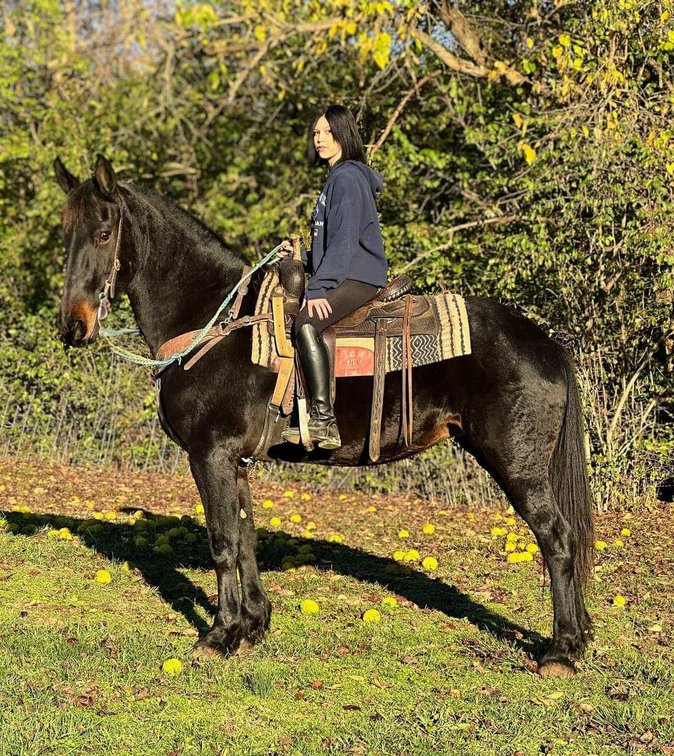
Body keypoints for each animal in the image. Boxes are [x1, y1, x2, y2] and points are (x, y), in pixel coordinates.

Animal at [54, 154, 594, 678]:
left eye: (104, 233)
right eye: (66, 233)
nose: (74, 326)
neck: (217, 323)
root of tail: (547, 345)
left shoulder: (210, 455)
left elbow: (223, 542)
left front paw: (219, 635)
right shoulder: (236, 462)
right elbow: (246, 537)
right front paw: (253, 624)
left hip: (518, 466)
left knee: (558, 538)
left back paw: (562, 650)